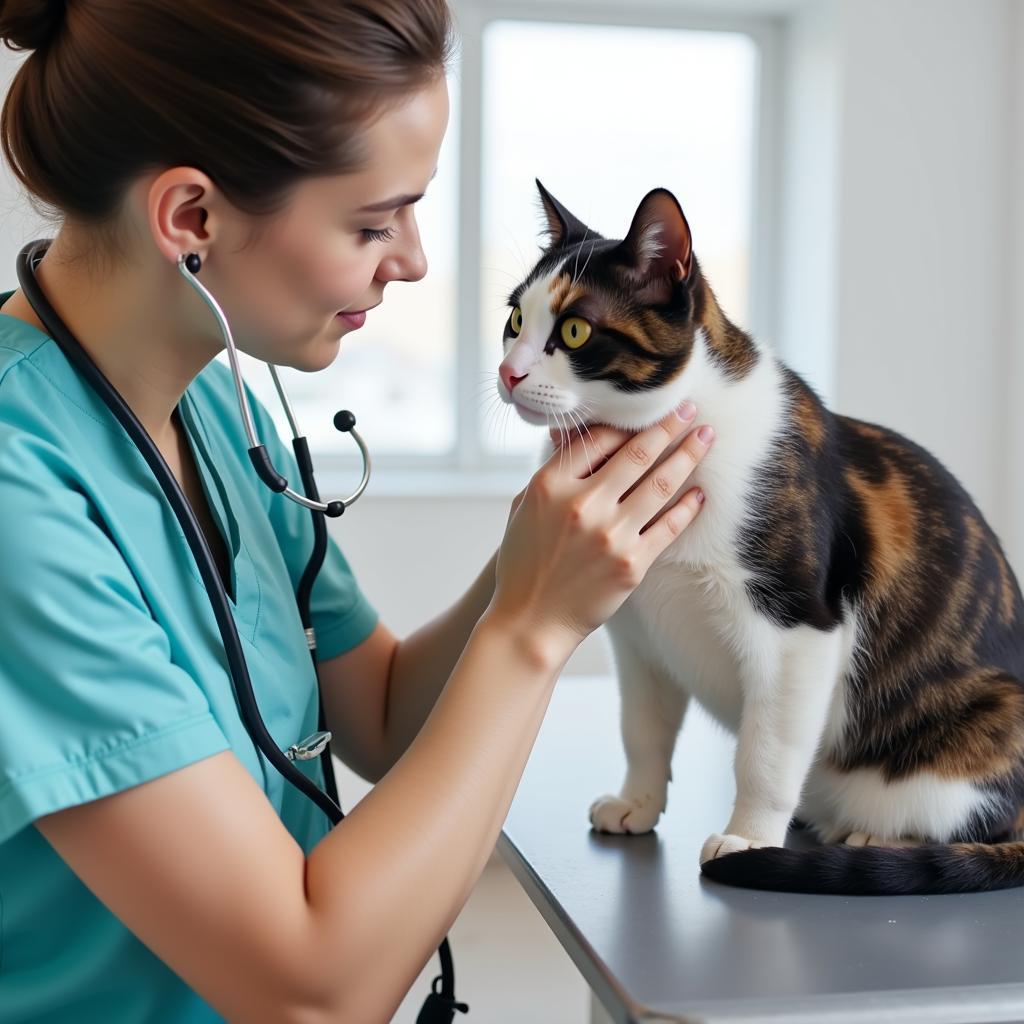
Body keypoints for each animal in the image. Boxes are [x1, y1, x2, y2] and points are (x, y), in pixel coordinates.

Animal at [499, 180, 1024, 892]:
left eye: (575, 329)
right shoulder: (638, 635)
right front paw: (637, 801)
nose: (508, 372)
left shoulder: (798, 628)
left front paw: (750, 835)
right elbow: (642, 728)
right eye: (514, 320)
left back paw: (876, 837)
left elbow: (766, 754)